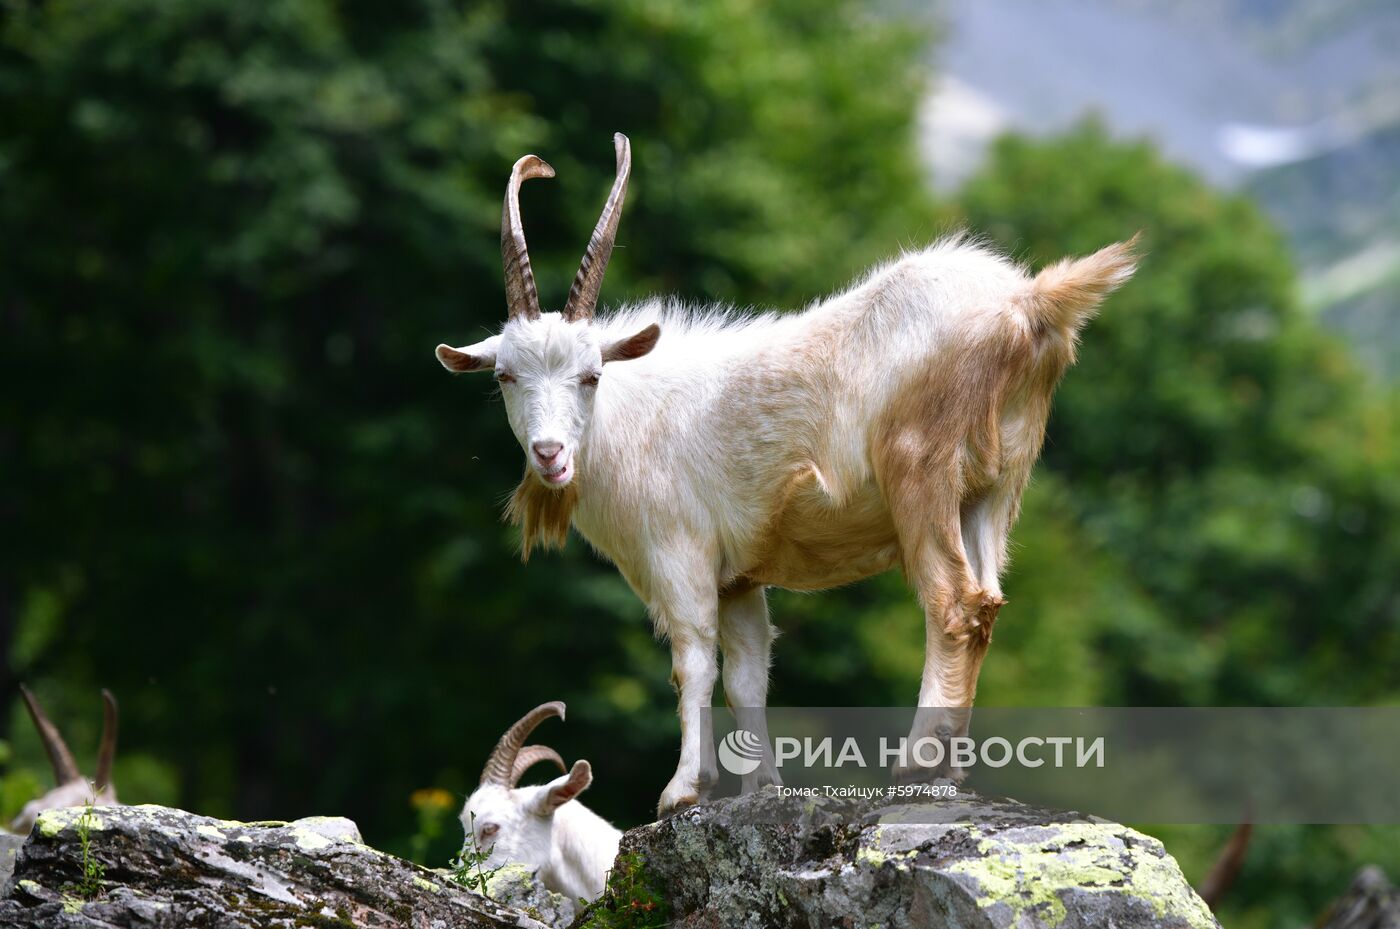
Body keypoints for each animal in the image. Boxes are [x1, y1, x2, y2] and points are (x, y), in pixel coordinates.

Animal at [434, 134, 1136, 817]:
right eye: (505, 376)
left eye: (591, 375)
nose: (550, 454)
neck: (634, 417)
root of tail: (1027, 304)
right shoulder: (740, 577)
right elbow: (748, 675)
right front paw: (761, 787)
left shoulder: (679, 553)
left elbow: (693, 659)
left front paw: (684, 789)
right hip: (994, 491)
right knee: (987, 601)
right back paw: (953, 767)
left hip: (922, 473)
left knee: (954, 603)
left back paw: (917, 764)